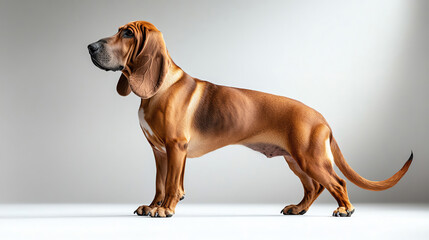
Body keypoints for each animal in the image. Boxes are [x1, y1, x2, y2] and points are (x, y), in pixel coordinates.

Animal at [88, 21, 412, 218]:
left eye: (128, 34)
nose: (91, 47)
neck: (158, 88)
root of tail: (322, 118)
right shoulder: (161, 152)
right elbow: (160, 183)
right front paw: (154, 206)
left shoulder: (175, 148)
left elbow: (170, 185)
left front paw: (166, 208)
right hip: (295, 160)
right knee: (314, 187)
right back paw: (299, 209)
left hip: (310, 159)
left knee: (338, 183)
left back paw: (345, 210)